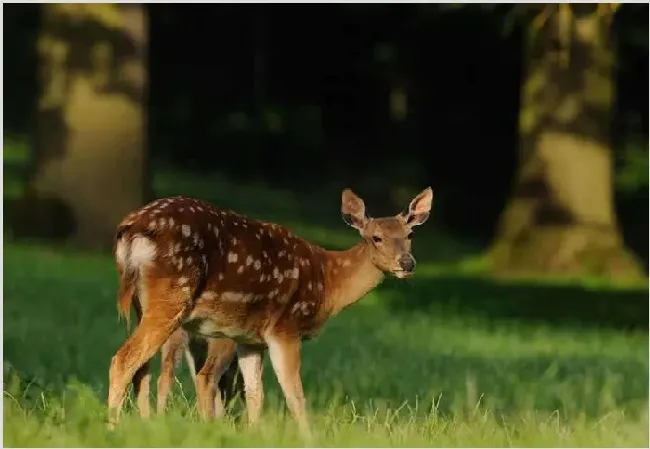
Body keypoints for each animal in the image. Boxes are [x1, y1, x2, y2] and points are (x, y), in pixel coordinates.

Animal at [107, 186, 430, 438]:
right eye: (376, 237)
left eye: (410, 234)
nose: (407, 263)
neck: (327, 282)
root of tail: (131, 228)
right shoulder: (285, 328)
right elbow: (294, 394)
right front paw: (307, 438)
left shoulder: (251, 339)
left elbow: (255, 393)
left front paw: (253, 434)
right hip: (173, 296)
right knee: (126, 360)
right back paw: (112, 427)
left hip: (143, 304)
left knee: (144, 368)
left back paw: (144, 425)